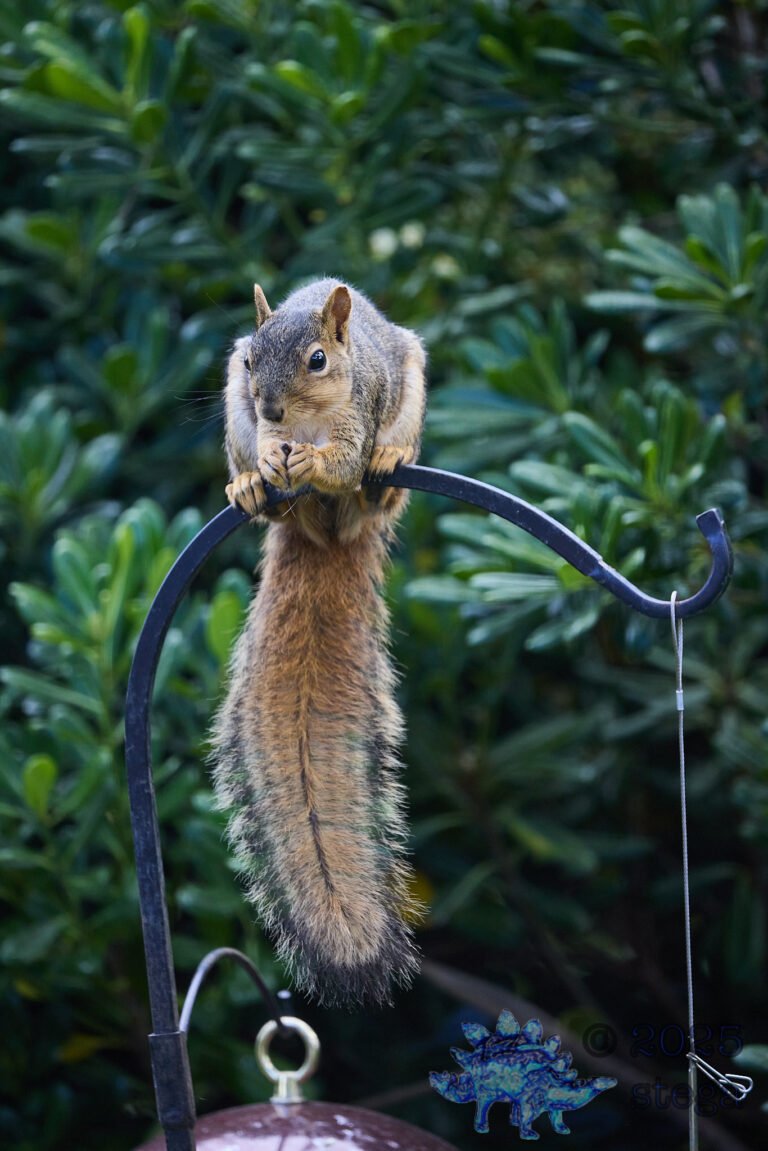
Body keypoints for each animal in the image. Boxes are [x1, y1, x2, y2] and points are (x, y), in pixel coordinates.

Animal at [210, 278, 427, 1007]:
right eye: (252, 360)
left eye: (317, 361)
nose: (271, 406)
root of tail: (330, 537)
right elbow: (273, 453)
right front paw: (268, 468)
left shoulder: (359, 410)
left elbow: (343, 460)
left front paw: (316, 460)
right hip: (236, 424)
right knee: (278, 502)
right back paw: (254, 487)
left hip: (405, 407)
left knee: (372, 485)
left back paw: (387, 467)